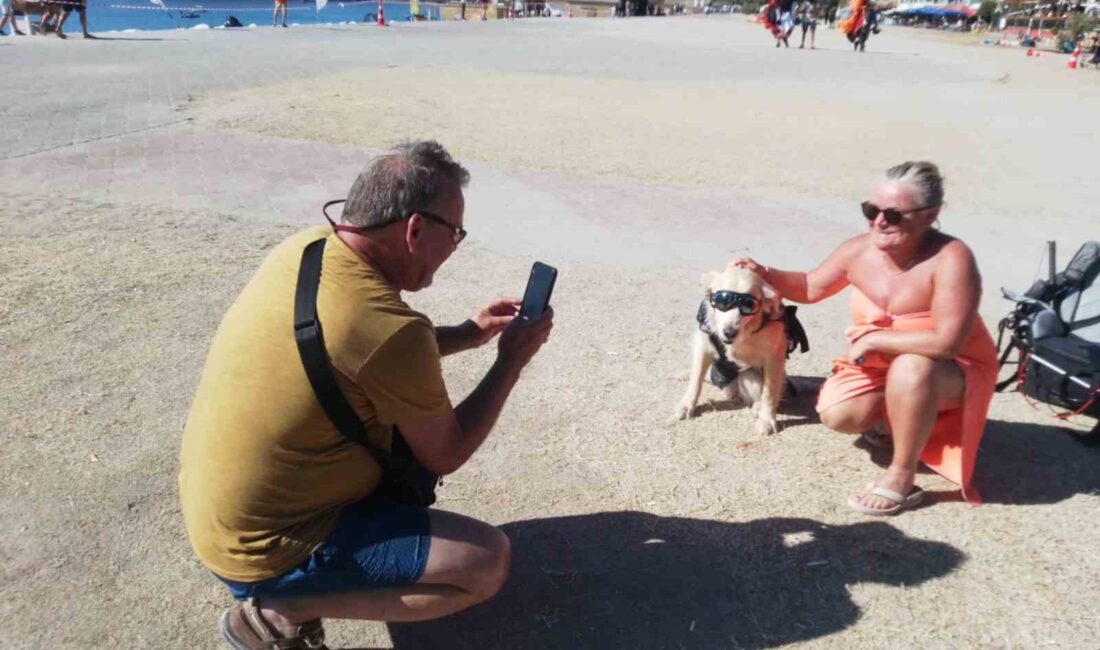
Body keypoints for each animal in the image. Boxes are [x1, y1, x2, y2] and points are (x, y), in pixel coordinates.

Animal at [668, 267, 792, 435]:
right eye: (723, 301)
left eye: (749, 304)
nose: (729, 333)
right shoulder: (703, 345)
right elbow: (696, 380)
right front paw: (686, 405)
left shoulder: (775, 355)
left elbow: (770, 393)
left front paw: (767, 419)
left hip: (750, 376)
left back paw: (757, 406)